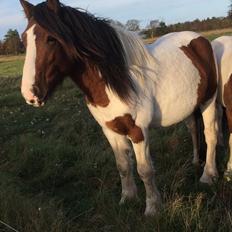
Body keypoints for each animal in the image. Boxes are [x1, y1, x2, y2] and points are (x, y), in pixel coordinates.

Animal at [19, 0, 219, 216]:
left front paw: (152, 208)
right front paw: (127, 199)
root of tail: (200, 39)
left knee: (210, 135)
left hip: (208, 101)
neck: (113, 83)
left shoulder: (138, 130)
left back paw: (208, 175)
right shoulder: (110, 130)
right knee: (193, 130)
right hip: (190, 107)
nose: (30, 94)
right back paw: (196, 162)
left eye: (51, 39)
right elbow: (123, 166)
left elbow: (144, 170)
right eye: (24, 40)